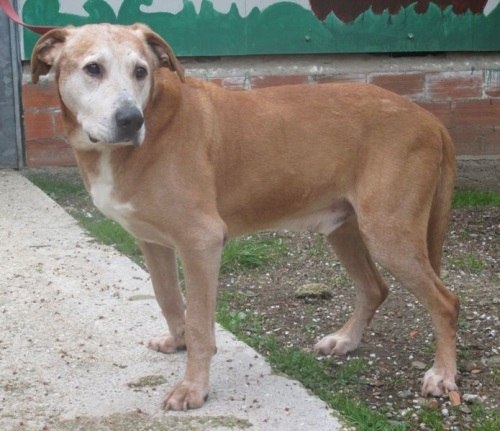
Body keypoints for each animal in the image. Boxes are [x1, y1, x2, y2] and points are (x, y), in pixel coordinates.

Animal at [31, 23, 458, 412]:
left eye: (141, 71)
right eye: (93, 68)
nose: (130, 120)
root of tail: (430, 119)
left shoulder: (201, 241)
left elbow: (200, 323)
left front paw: (193, 387)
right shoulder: (152, 241)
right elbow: (168, 298)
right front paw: (177, 341)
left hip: (389, 233)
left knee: (445, 301)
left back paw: (442, 375)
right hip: (345, 229)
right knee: (374, 288)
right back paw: (346, 340)